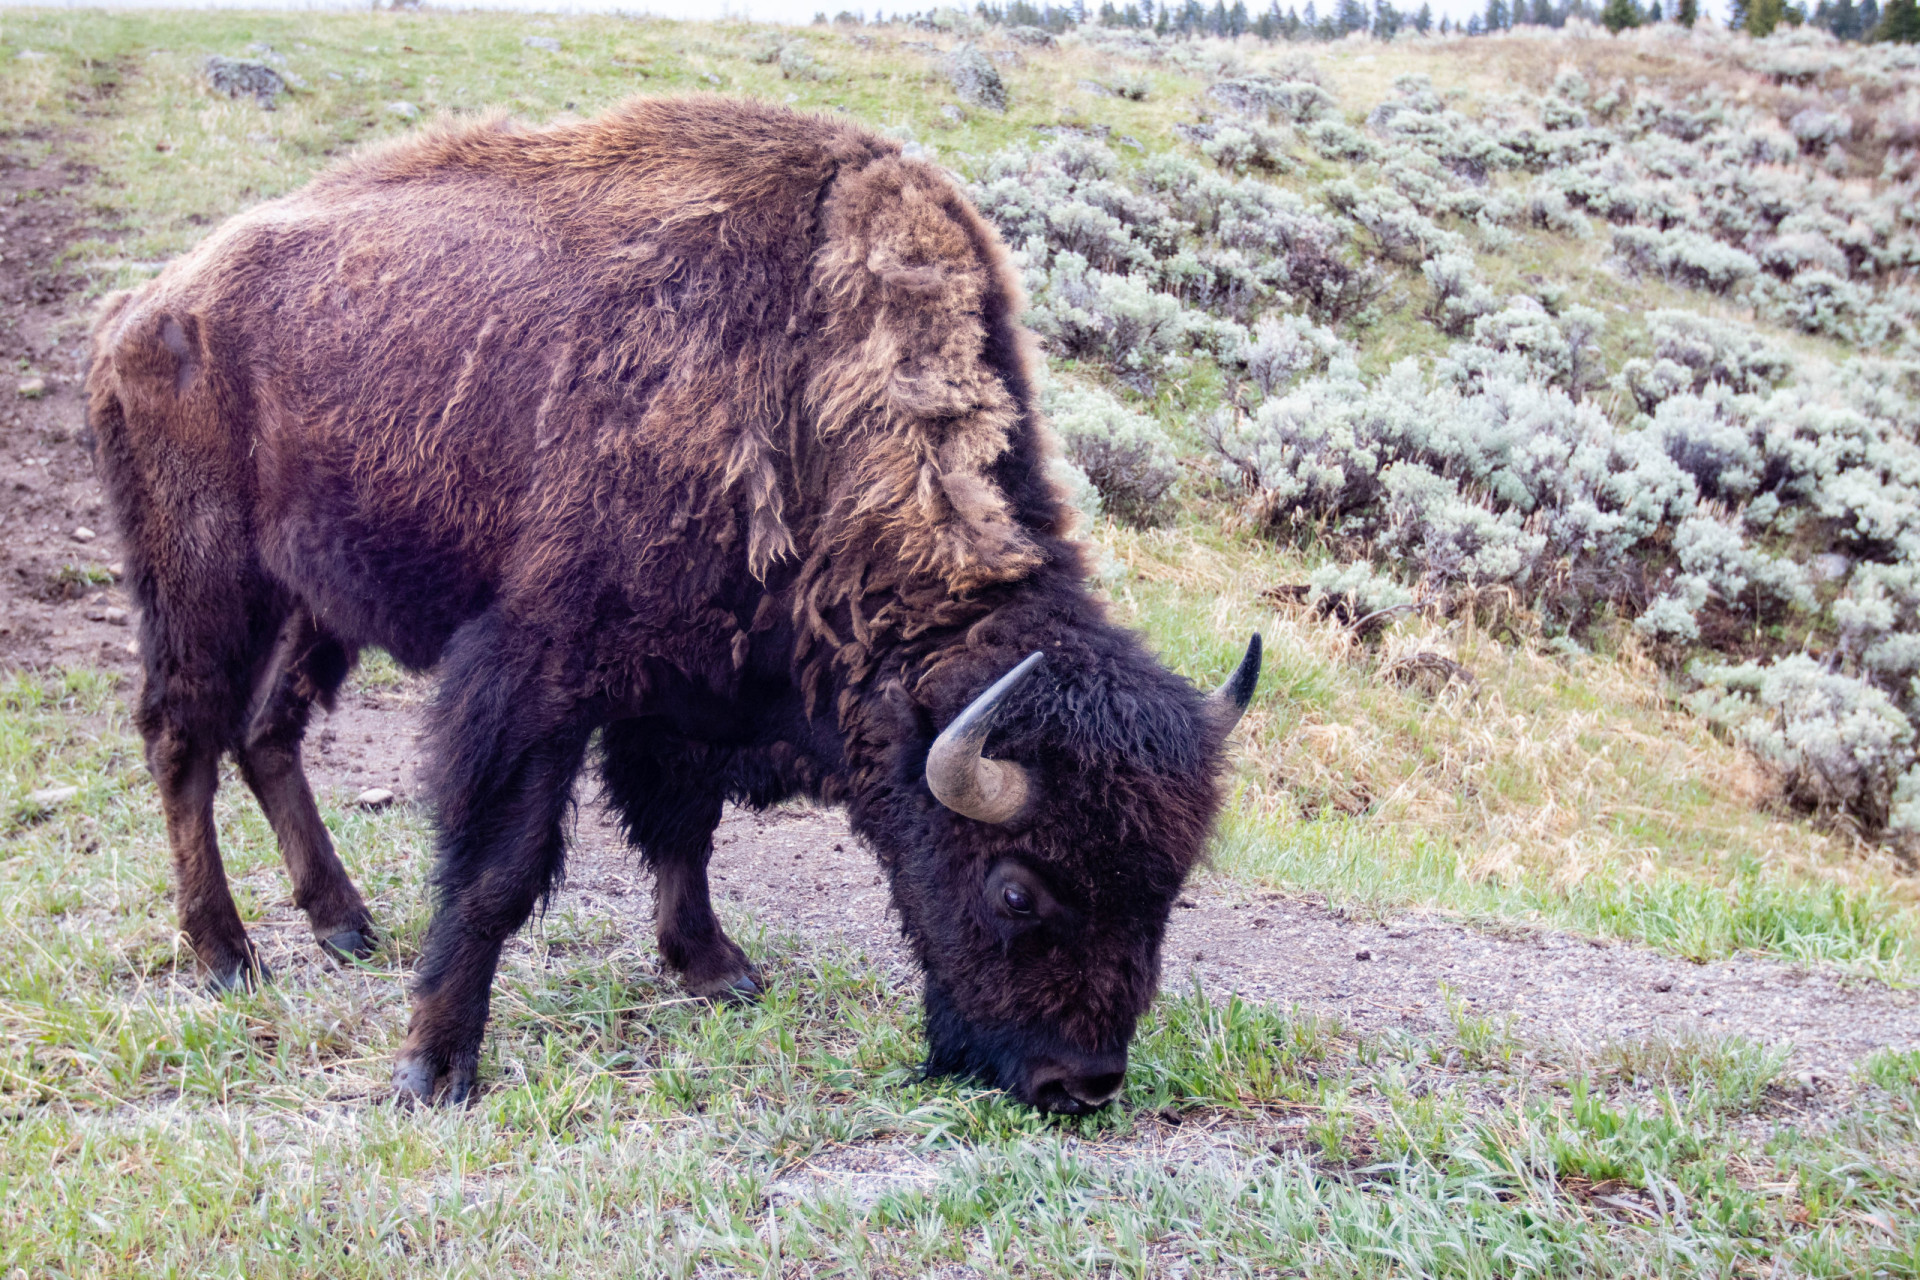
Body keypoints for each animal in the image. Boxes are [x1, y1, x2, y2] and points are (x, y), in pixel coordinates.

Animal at [90, 97, 1259, 1113]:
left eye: (1168, 885)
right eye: (1016, 890)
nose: (1082, 1082)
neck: (808, 383)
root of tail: (144, 307)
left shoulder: (689, 686)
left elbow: (683, 829)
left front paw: (713, 967)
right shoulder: (541, 674)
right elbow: (500, 870)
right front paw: (433, 1066)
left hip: (312, 603)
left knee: (266, 732)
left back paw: (344, 925)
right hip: (202, 580)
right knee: (183, 738)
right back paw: (227, 953)